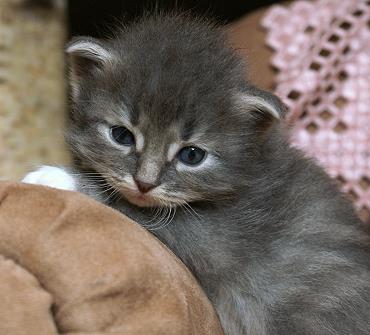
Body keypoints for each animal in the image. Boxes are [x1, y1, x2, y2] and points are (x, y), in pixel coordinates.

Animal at [23, 13, 370, 335]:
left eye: (191, 155)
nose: (144, 183)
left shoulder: (214, 238)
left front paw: (56, 178)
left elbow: (128, 207)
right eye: (121, 135)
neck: (250, 167)